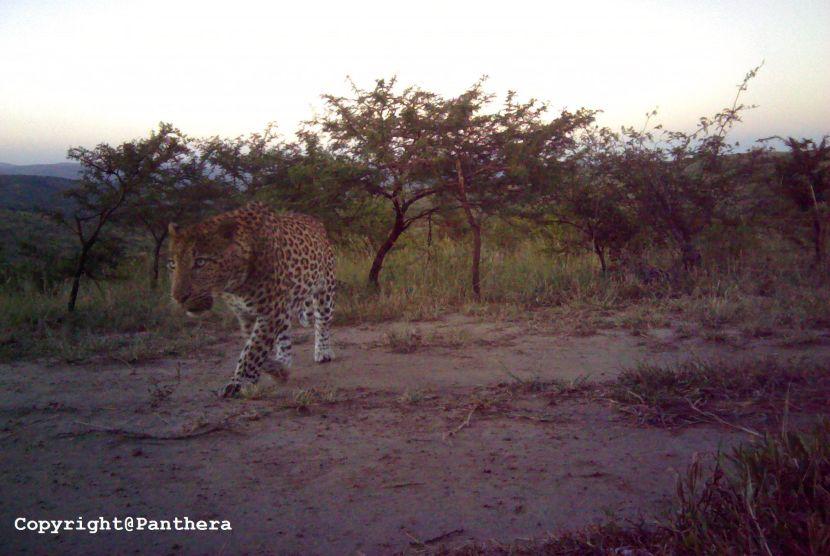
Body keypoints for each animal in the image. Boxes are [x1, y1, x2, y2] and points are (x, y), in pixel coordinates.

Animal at [167, 202, 336, 398]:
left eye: (200, 262)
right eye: (172, 264)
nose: (178, 297)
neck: (235, 284)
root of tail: (314, 220)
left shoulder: (271, 312)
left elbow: (253, 350)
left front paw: (240, 382)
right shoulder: (246, 315)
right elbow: (253, 347)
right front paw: (278, 370)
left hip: (325, 292)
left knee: (322, 323)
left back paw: (323, 352)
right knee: (284, 339)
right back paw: (283, 361)